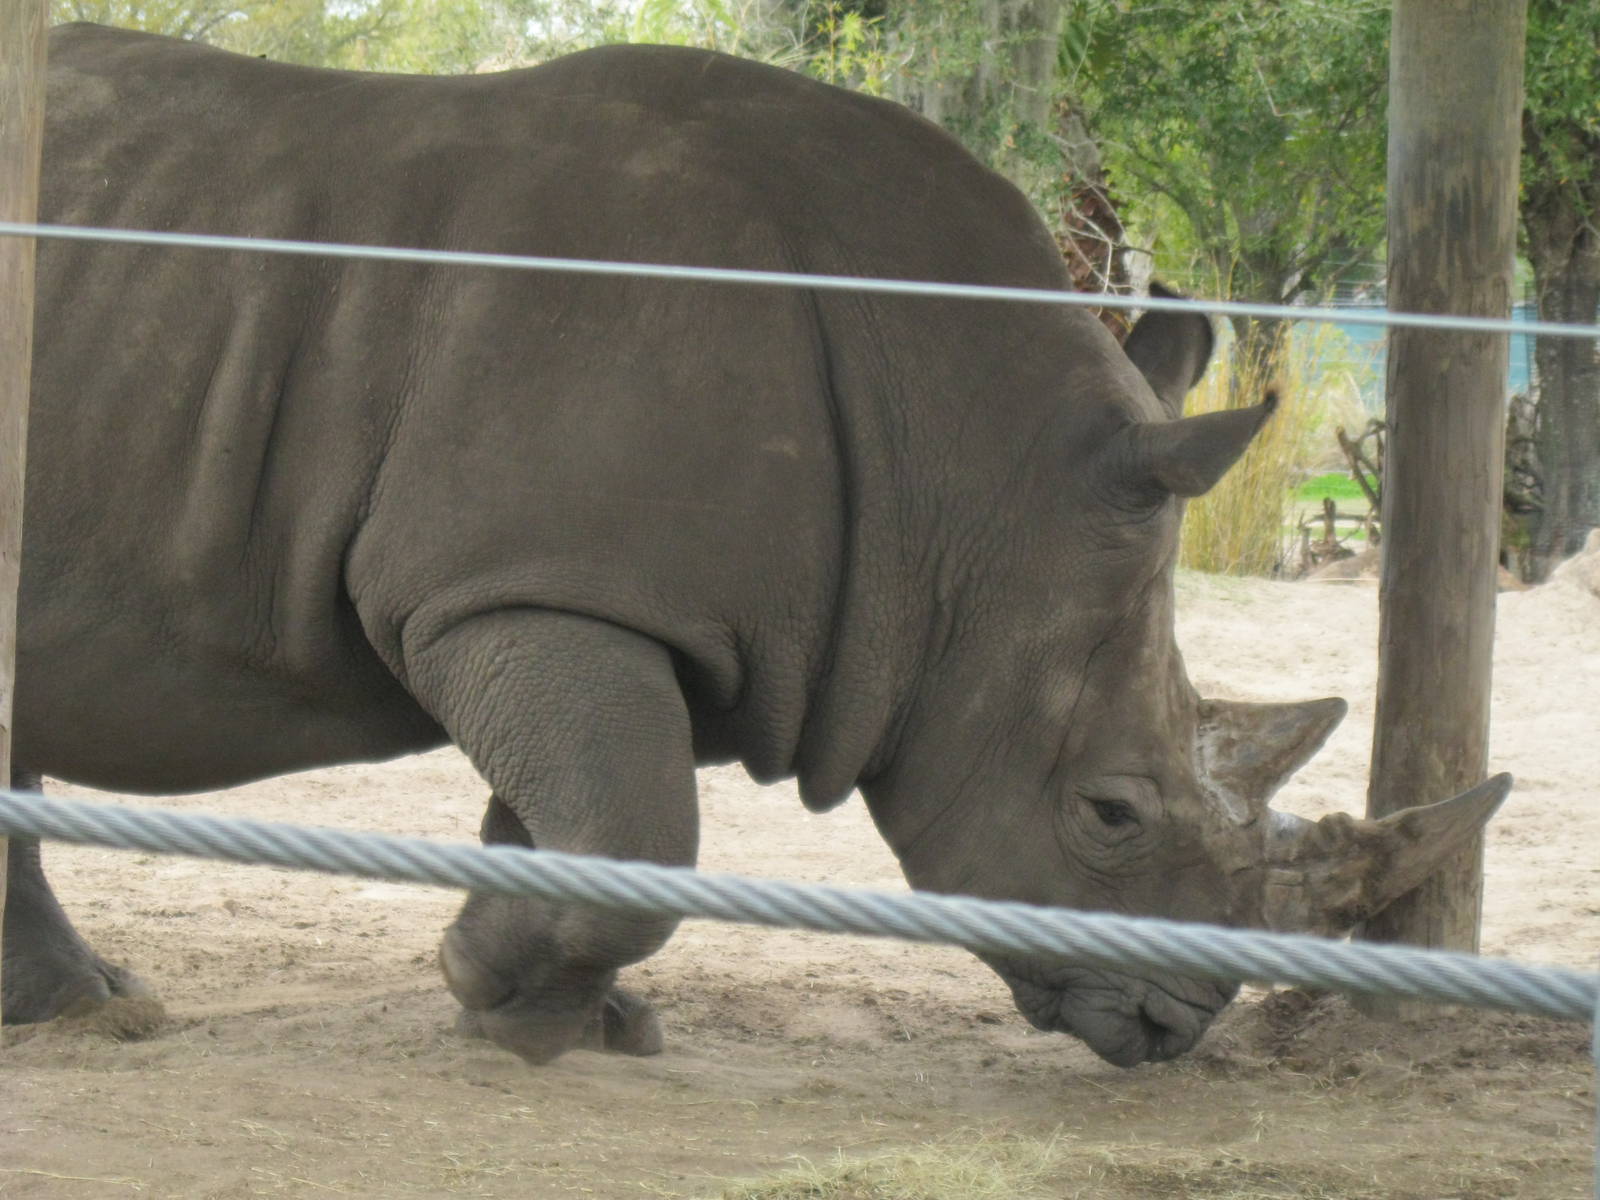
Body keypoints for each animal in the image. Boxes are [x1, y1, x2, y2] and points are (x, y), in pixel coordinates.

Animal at [3, 24, 1503, 1068]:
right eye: (1109, 816)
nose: (1176, 1026)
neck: (961, 468)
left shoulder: (584, 596)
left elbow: (576, 820)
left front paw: (568, 1016)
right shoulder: (527, 592)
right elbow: (637, 832)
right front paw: (498, 998)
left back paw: (83, 1013)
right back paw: (89, 1015)